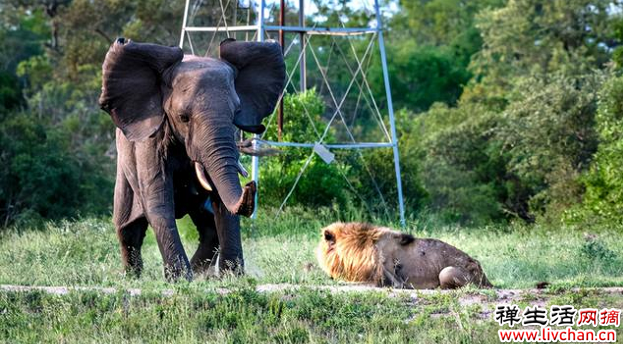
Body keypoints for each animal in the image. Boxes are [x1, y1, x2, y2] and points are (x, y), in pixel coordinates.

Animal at [98, 37, 286, 280]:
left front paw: (232, 276)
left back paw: (199, 273)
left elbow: (222, 201)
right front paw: (179, 279)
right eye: (183, 118)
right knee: (128, 228)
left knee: (208, 226)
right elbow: (158, 201)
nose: (250, 185)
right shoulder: (149, 141)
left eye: (236, 113)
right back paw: (133, 276)